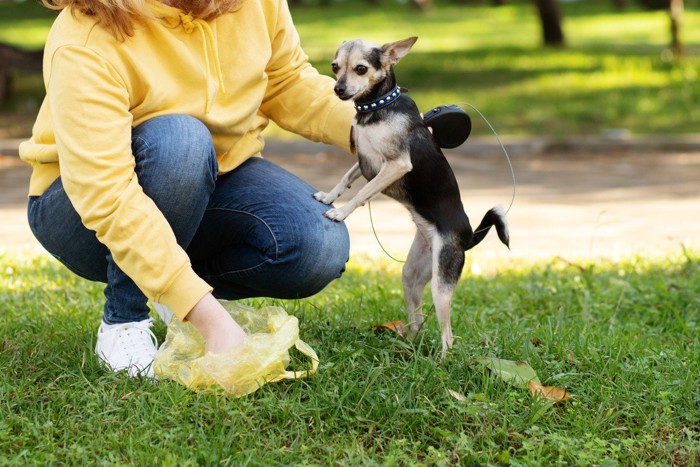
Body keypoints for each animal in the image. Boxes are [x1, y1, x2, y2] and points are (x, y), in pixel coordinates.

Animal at [316, 36, 508, 358]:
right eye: (334, 67)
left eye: (360, 68)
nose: (338, 89)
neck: (377, 107)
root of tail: (467, 236)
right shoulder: (364, 161)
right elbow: (346, 178)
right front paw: (329, 197)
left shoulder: (394, 165)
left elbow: (363, 192)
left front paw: (340, 212)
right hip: (412, 275)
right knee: (417, 319)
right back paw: (408, 348)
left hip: (441, 284)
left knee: (448, 335)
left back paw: (441, 362)